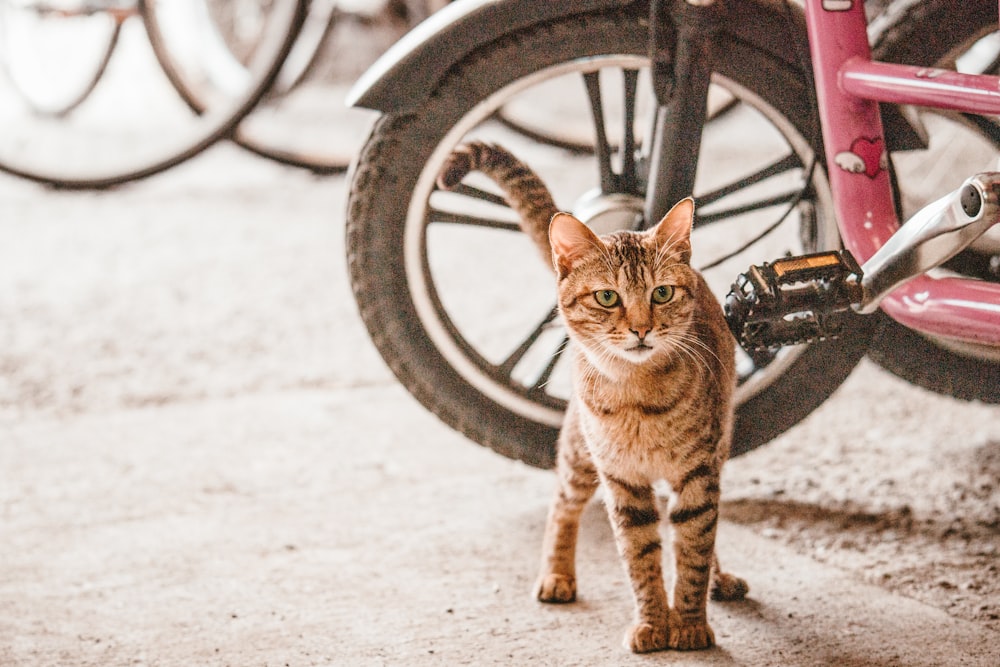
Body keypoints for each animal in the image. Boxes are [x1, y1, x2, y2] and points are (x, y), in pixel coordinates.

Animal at [440, 140, 752, 652]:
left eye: (662, 293)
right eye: (608, 298)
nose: (642, 329)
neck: (639, 397)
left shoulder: (699, 474)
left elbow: (693, 550)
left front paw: (688, 622)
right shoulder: (621, 483)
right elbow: (641, 559)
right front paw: (653, 623)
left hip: (718, 447)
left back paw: (720, 578)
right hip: (580, 452)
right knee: (562, 504)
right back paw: (557, 574)